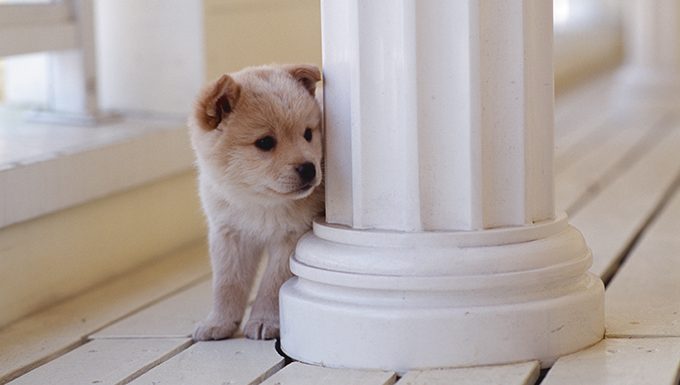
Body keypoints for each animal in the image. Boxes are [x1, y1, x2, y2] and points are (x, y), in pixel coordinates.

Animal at [187, 63, 322, 340]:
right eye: (265, 142)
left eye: (307, 134)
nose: (309, 169)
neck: (258, 203)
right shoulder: (230, 235)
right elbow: (227, 284)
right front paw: (219, 322)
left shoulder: (291, 237)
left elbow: (272, 284)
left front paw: (264, 320)